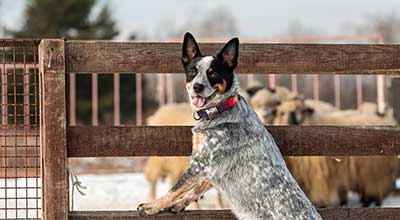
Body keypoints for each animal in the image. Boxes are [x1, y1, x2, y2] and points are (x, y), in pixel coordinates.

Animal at [138, 31, 322, 219]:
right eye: (192, 71)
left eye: (212, 74)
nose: (197, 86)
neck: (220, 110)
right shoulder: (213, 169)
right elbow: (196, 188)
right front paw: (179, 204)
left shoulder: (201, 163)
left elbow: (175, 189)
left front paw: (153, 206)